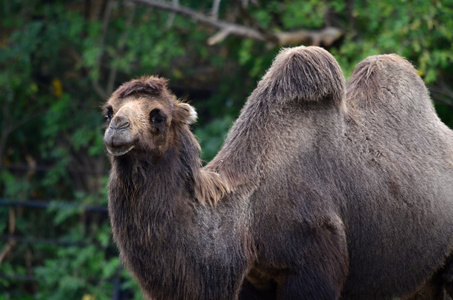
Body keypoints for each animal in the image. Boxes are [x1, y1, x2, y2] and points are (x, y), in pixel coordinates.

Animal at [102, 45, 452, 298]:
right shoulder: (250, 279)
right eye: (108, 111)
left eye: (158, 116)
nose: (117, 128)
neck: (245, 218)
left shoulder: (313, 264)